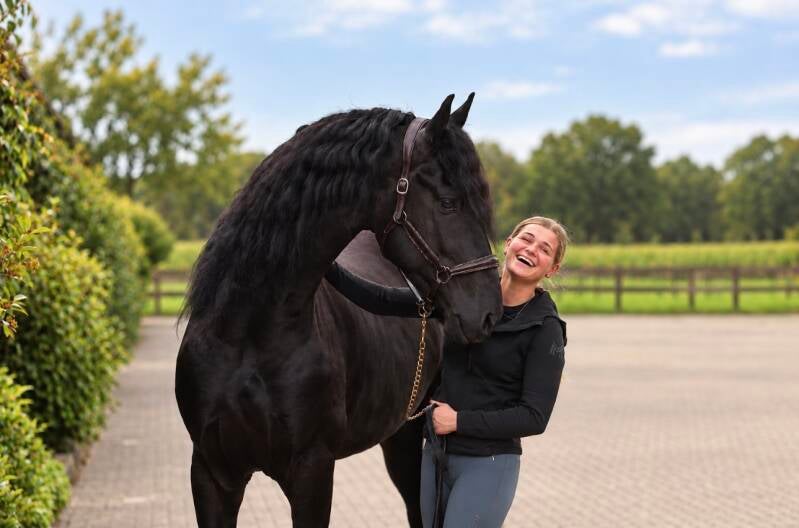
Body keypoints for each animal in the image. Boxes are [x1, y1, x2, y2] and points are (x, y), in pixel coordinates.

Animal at [175, 94, 503, 527]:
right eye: (448, 203)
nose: (488, 312)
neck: (248, 335)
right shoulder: (211, 473)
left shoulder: (312, 470)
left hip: (412, 443)